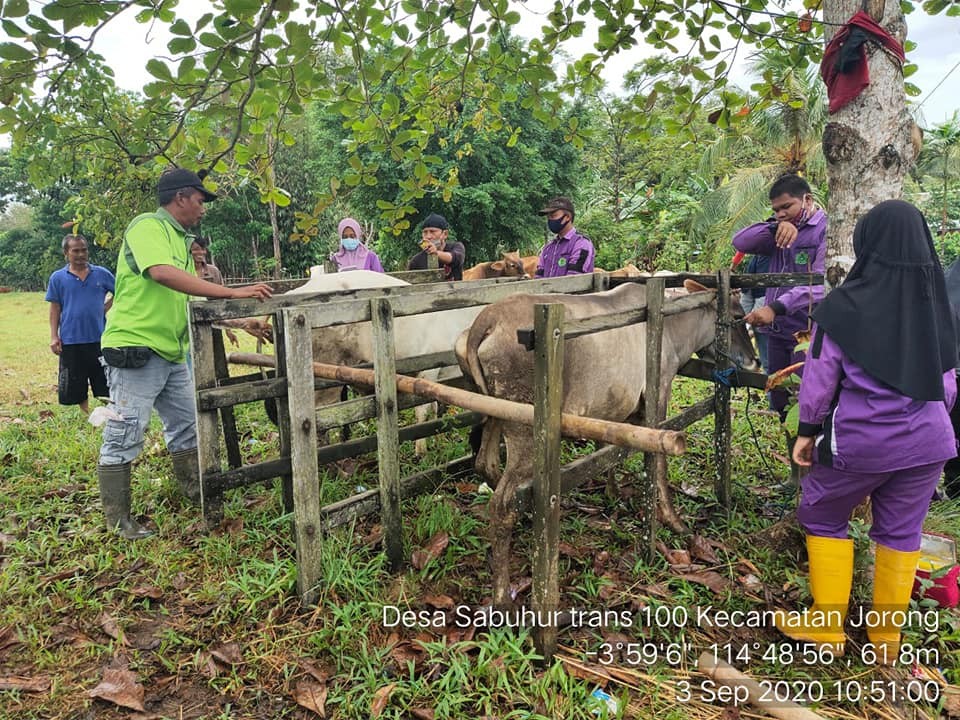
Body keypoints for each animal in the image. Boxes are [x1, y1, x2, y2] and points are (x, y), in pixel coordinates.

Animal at [454, 282, 760, 608]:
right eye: (738, 316)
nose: (754, 360)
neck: (676, 330)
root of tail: (484, 321)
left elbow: (610, 453)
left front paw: (612, 492)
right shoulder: (658, 395)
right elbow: (658, 465)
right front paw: (673, 520)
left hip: (493, 416)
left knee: (485, 464)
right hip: (524, 429)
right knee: (502, 504)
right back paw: (503, 596)